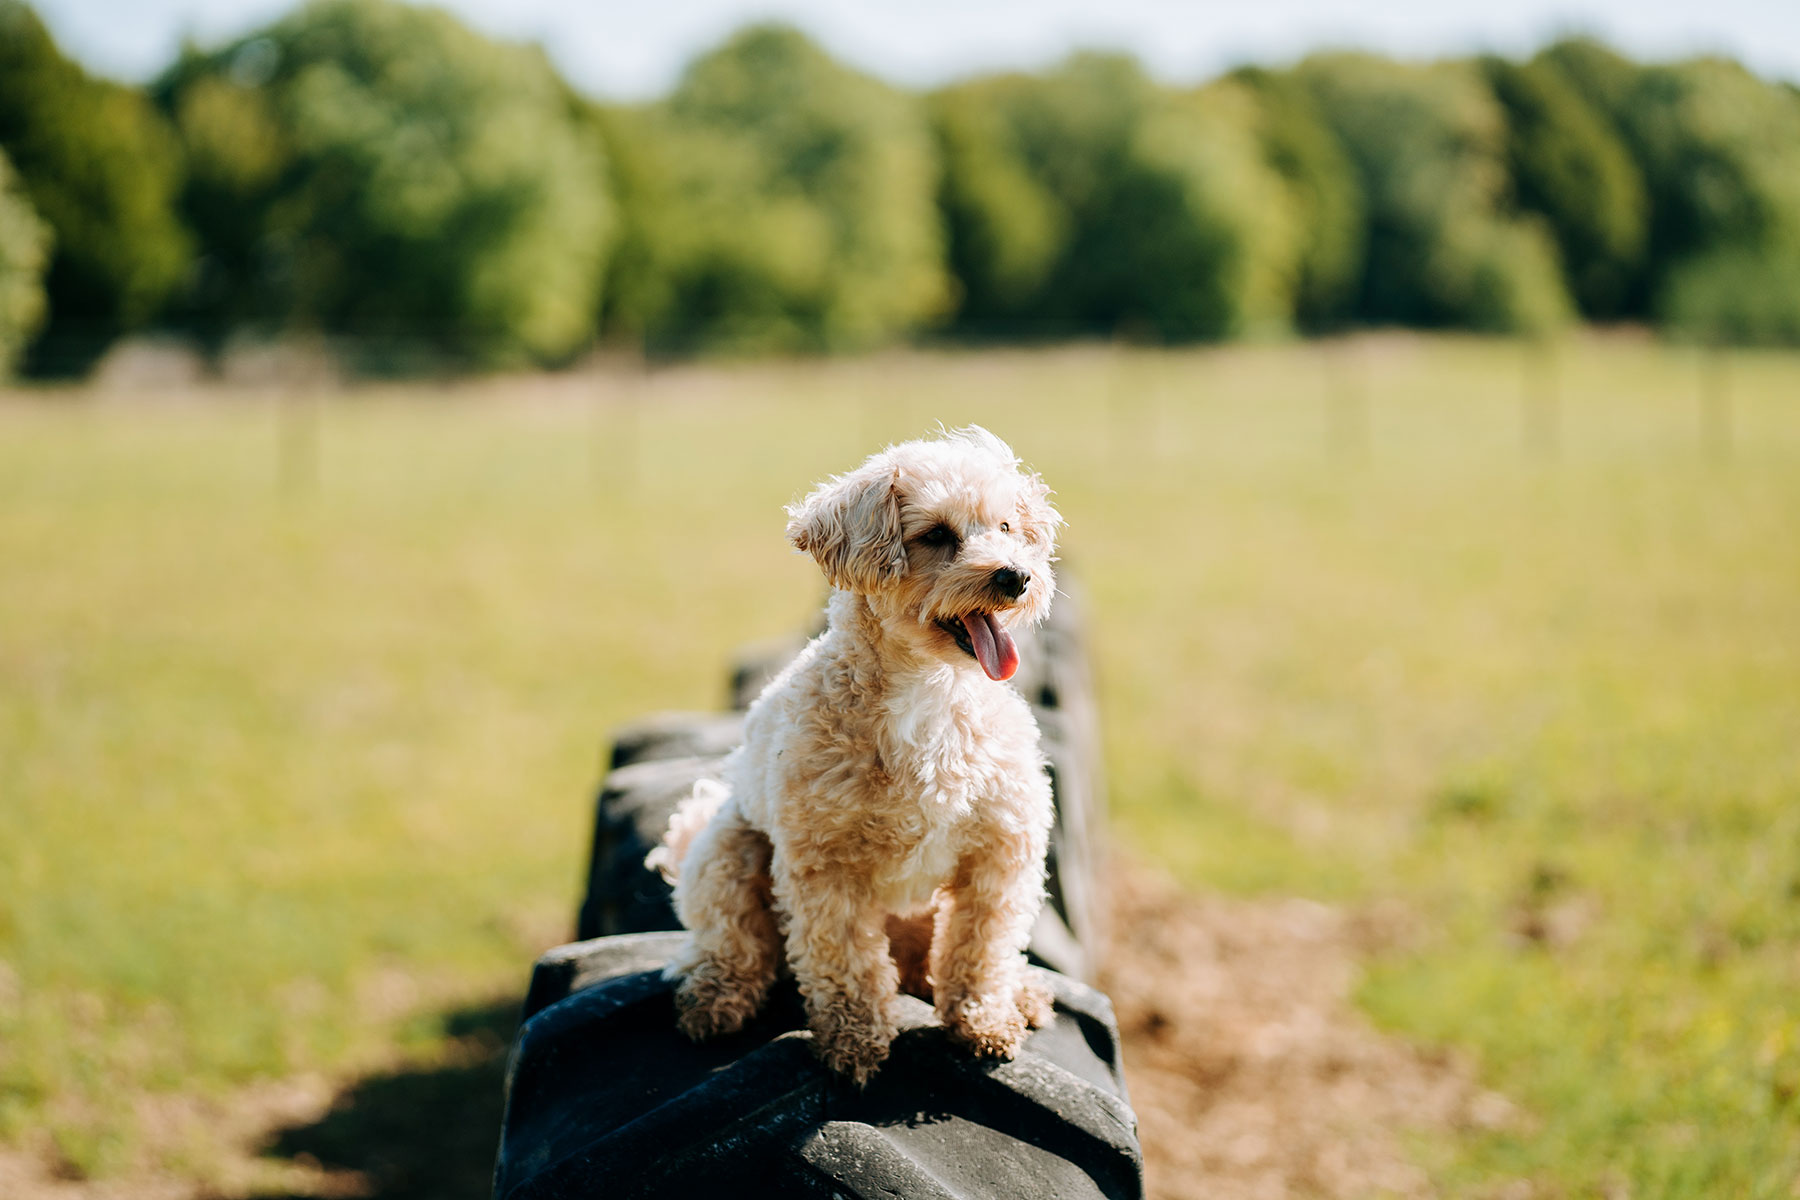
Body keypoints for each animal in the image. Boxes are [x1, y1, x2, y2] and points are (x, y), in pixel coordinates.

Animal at [648, 426, 1058, 1086]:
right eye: (936, 535)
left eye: (1006, 527)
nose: (1016, 577)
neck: (931, 696)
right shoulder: (825, 866)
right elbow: (845, 959)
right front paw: (854, 1039)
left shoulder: (1000, 853)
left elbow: (981, 948)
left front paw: (983, 1020)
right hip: (725, 849)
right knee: (730, 946)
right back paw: (715, 1000)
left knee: (932, 960)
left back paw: (1018, 992)